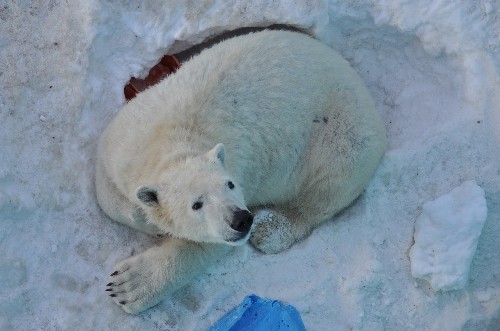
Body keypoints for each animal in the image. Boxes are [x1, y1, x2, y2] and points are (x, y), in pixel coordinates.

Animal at [96, 29, 386, 316]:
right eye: (196, 204)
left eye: (230, 184)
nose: (241, 219)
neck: (172, 145)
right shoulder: (127, 141)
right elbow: (104, 186)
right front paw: (147, 219)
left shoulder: (241, 168)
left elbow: (207, 246)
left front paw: (127, 286)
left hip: (339, 137)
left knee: (325, 190)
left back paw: (270, 229)